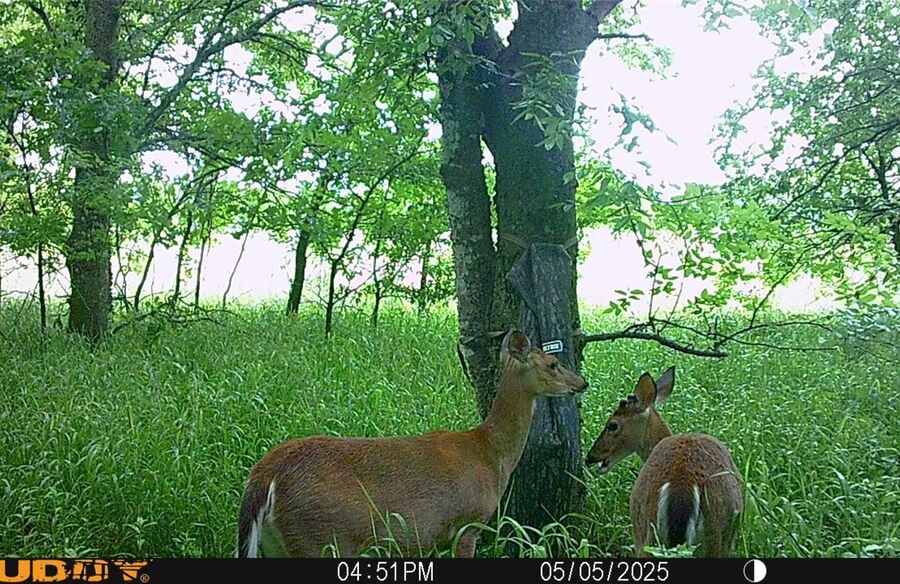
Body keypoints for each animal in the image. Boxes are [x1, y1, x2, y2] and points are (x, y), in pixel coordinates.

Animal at [237, 329, 588, 558]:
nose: (582, 383)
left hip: (277, 544)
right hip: (320, 536)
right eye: (553, 364)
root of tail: (266, 475)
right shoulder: (466, 525)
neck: (490, 453)